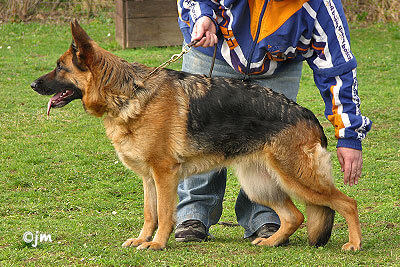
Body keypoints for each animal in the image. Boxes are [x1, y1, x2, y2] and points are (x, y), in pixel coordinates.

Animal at [31, 21, 360, 251]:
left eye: (60, 68)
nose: (32, 85)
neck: (129, 92)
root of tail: (307, 115)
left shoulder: (165, 174)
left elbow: (165, 213)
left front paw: (157, 244)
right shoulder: (149, 178)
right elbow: (149, 213)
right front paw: (142, 239)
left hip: (298, 179)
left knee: (347, 203)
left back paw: (354, 244)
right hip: (261, 184)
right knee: (295, 217)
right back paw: (270, 242)